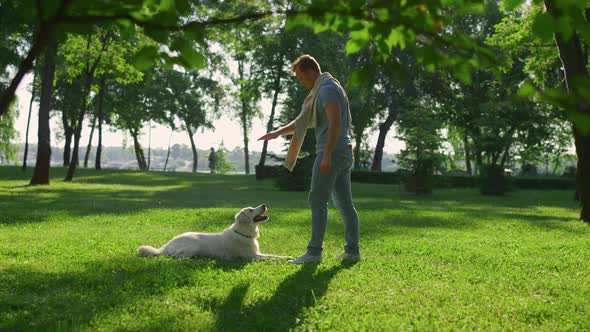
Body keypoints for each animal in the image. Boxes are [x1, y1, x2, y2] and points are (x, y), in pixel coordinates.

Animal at [136, 205, 290, 260]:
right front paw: (285, 261)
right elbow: (271, 258)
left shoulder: (257, 253)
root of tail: (166, 245)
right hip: (193, 246)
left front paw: (288, 257)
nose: (264, 205)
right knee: (176, 257)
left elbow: (274, 255)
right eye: (251, 210)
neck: (243, 233)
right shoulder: (252, 257)